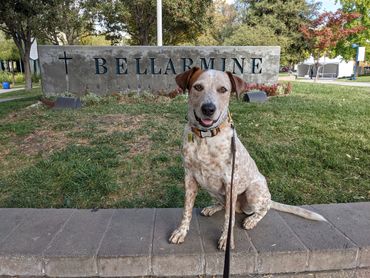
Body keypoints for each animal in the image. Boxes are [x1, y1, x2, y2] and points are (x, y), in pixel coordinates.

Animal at [169, 67, 326, 250]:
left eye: (223, 89)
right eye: (198, 87)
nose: (208, 109)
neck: (205, 137)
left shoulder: (230, 181)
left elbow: (228, 219)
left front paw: (226, 239)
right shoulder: (189, 177)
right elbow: (186, 210)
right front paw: (181, 231)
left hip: (253, 192)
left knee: (264, 207)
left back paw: (252, 220)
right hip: (212, 189)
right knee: (224, 205)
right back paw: (212, 208)